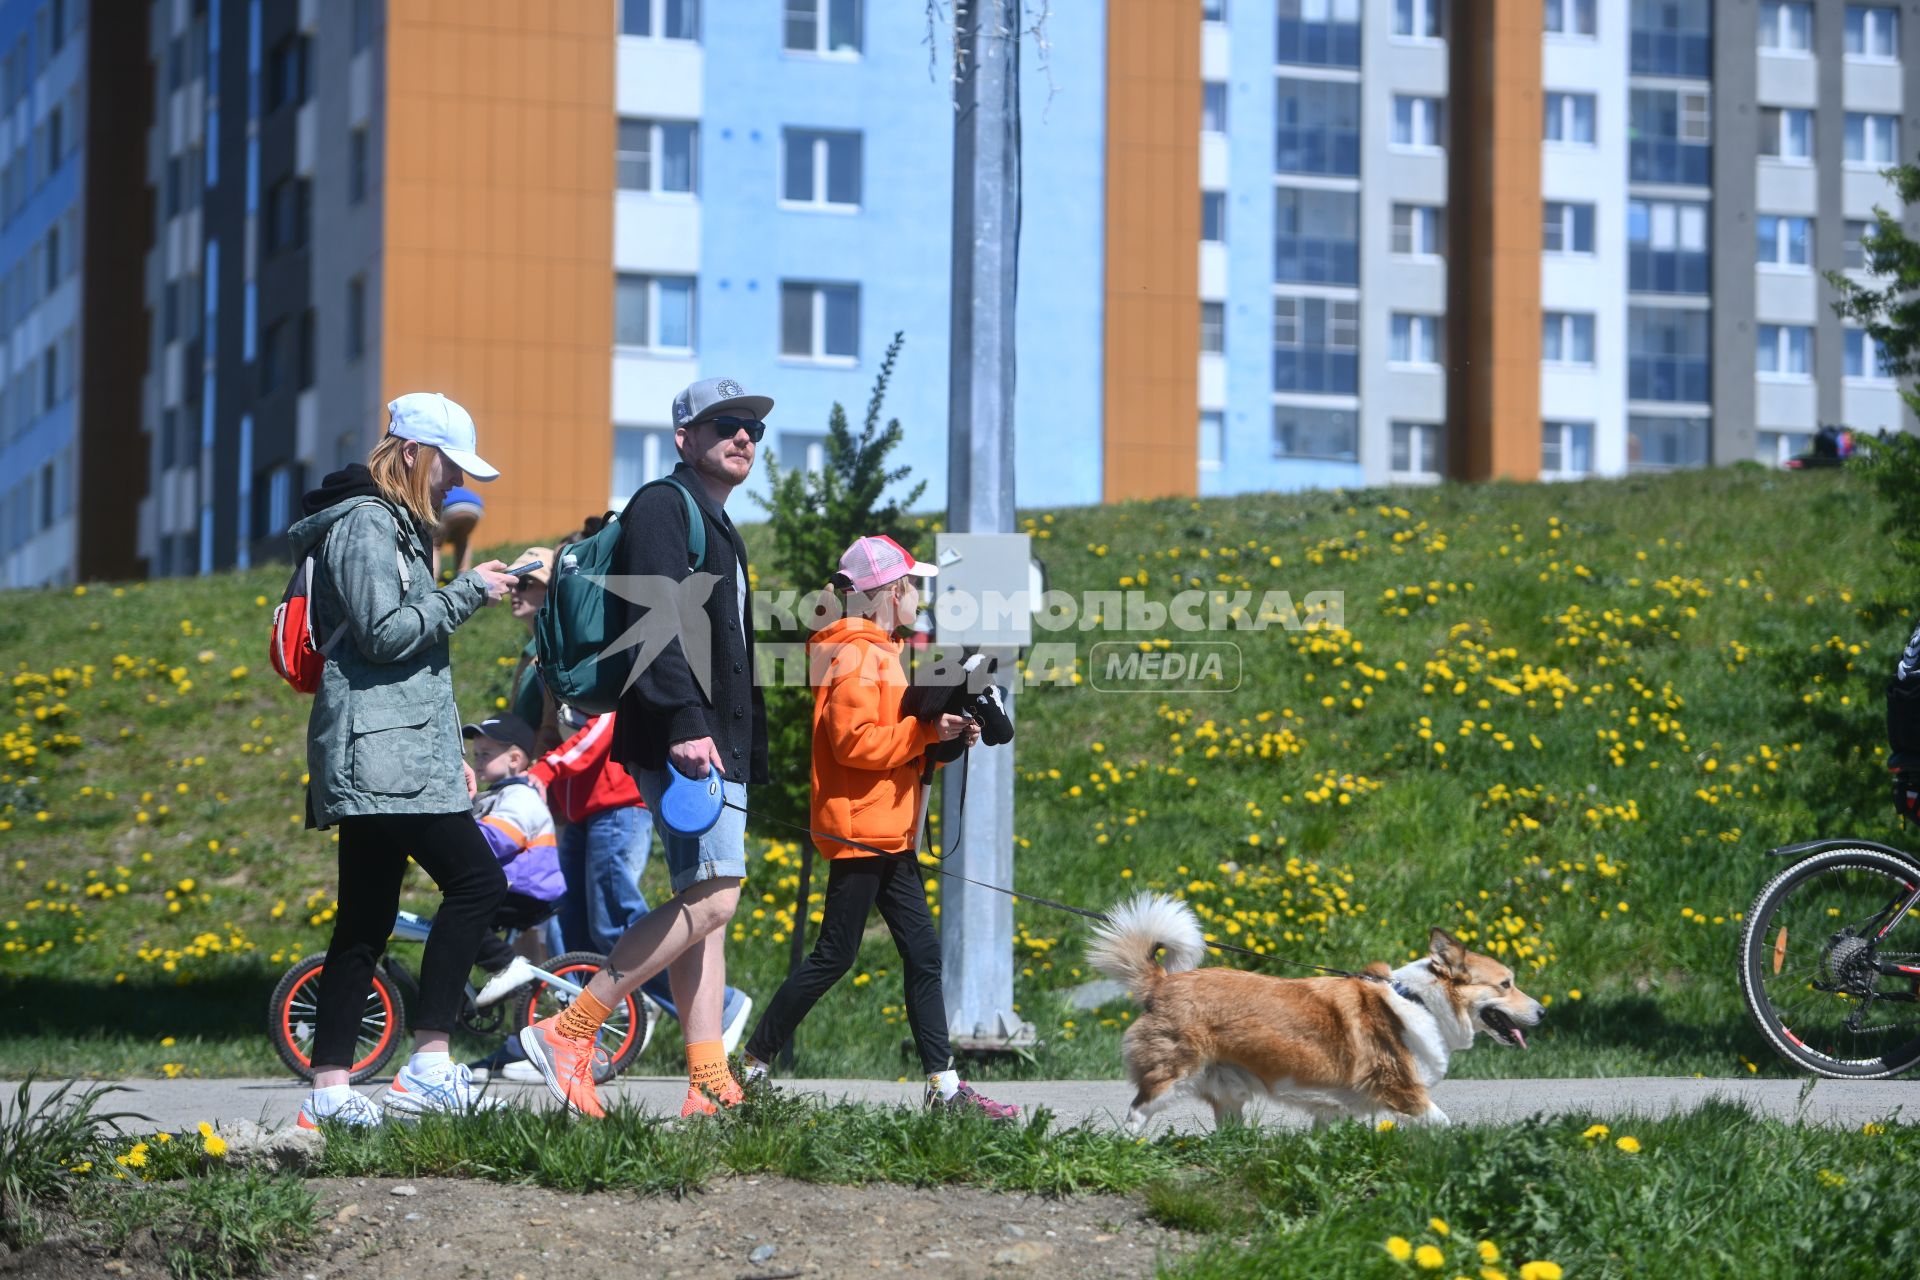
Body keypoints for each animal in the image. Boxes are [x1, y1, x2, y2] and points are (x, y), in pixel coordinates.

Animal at [1090, 890, 1551, 1128]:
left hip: (1230, 1093)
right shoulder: (1405, 1093)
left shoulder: (1335, 1109)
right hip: (1171, 1077)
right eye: (1506, 984)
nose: (1545, 1013)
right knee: (1136, 1113)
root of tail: (1161, 983)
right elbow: (1445, 1126)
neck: (1421, 1002)